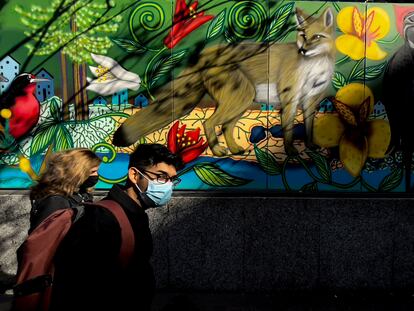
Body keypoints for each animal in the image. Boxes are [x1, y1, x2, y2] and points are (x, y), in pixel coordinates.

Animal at [112, 7, 334, 156]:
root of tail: (206, 52)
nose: (303, 50)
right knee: (208, 122)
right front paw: (291, 152)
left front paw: (311, 148)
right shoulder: (290, 100)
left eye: (317, 37)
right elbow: (288, 130)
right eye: (303, 35)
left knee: (226, 126)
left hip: (242, 102)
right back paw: (218, 150)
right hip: (241, 98)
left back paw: (234, 149)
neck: (315, 69)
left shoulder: (310, 102)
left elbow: (309, 128)